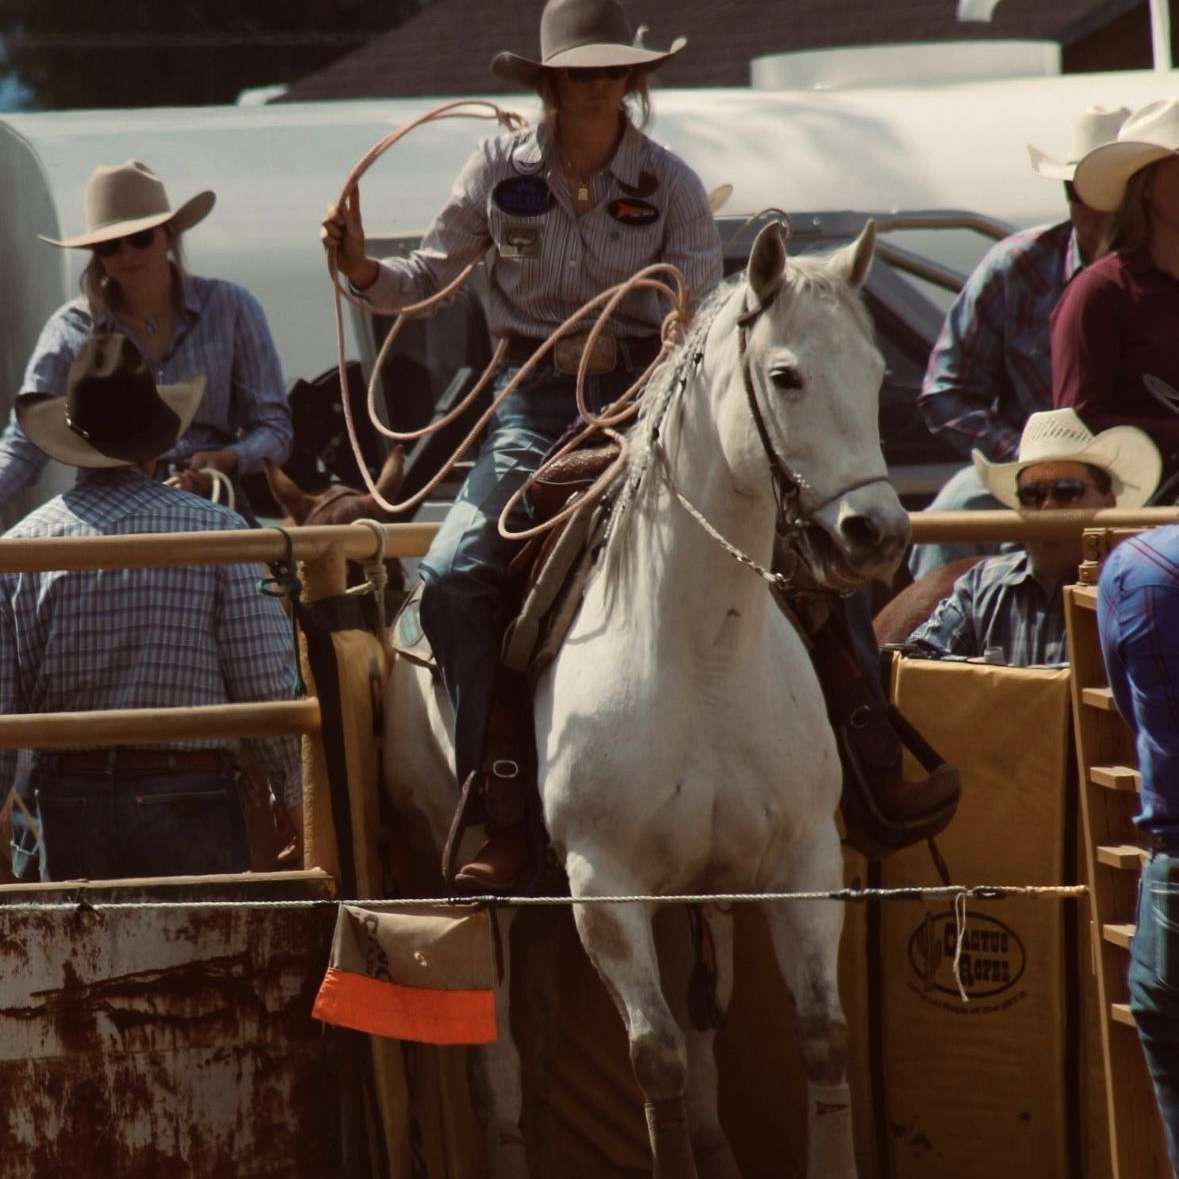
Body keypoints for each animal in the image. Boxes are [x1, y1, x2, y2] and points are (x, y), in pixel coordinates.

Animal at [381, 216, 905, 1174]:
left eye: (878, 373)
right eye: (785, 375)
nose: (875, 533)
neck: (703, 653)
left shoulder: (801, 860)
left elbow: (818, 1036)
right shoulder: (604, 883)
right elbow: (653, 1053)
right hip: (484, 891)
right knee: (497, 1060)